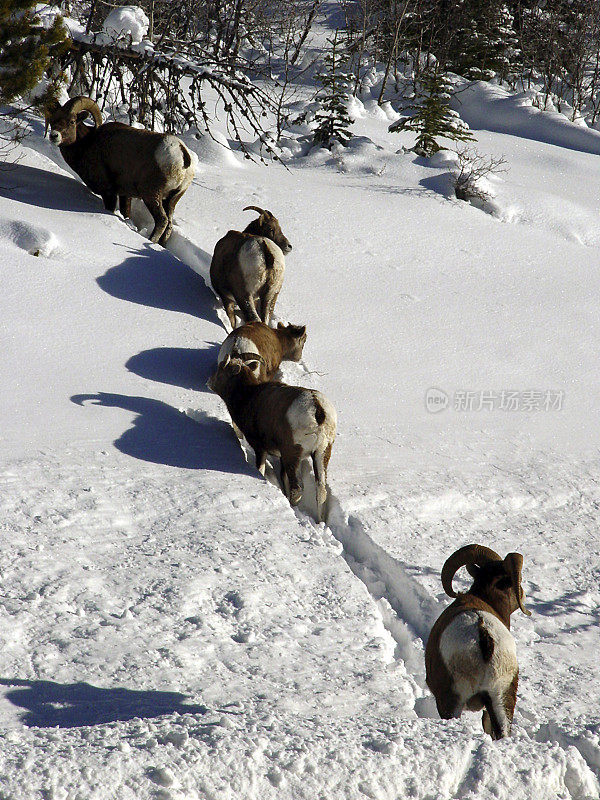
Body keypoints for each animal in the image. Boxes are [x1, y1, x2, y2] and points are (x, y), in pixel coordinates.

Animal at [47, 95, 197, 244]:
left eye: (72, 121)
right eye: (53, 119)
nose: (54, 135)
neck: (87, 143)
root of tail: (182, 154)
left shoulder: (109, 192)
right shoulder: (125, 194)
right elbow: (126, 213)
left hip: (151, 195)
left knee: (162, 220)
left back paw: (151, 241)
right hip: (172, 200)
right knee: (169, 223)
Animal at [209, 360, 336, 520]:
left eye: (221, 368)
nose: (209, 382)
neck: (248, 398)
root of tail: (317, 409)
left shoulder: (261, 449)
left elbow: (261, 470)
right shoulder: (281, 456)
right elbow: (283, 478)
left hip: (293, 453)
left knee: (297, 488)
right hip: (322, 452)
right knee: (321, 490)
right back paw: (320, 521)